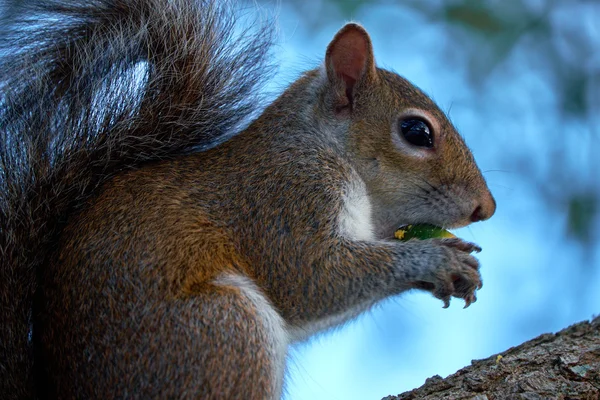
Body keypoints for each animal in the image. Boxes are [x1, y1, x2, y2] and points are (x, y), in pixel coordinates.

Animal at [0, 0, 494, 398]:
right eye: (416, 131)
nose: (485, 208)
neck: (323, 147)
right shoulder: (284, 197)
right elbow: (311, 276)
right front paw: (434, 259)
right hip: (224, 331)